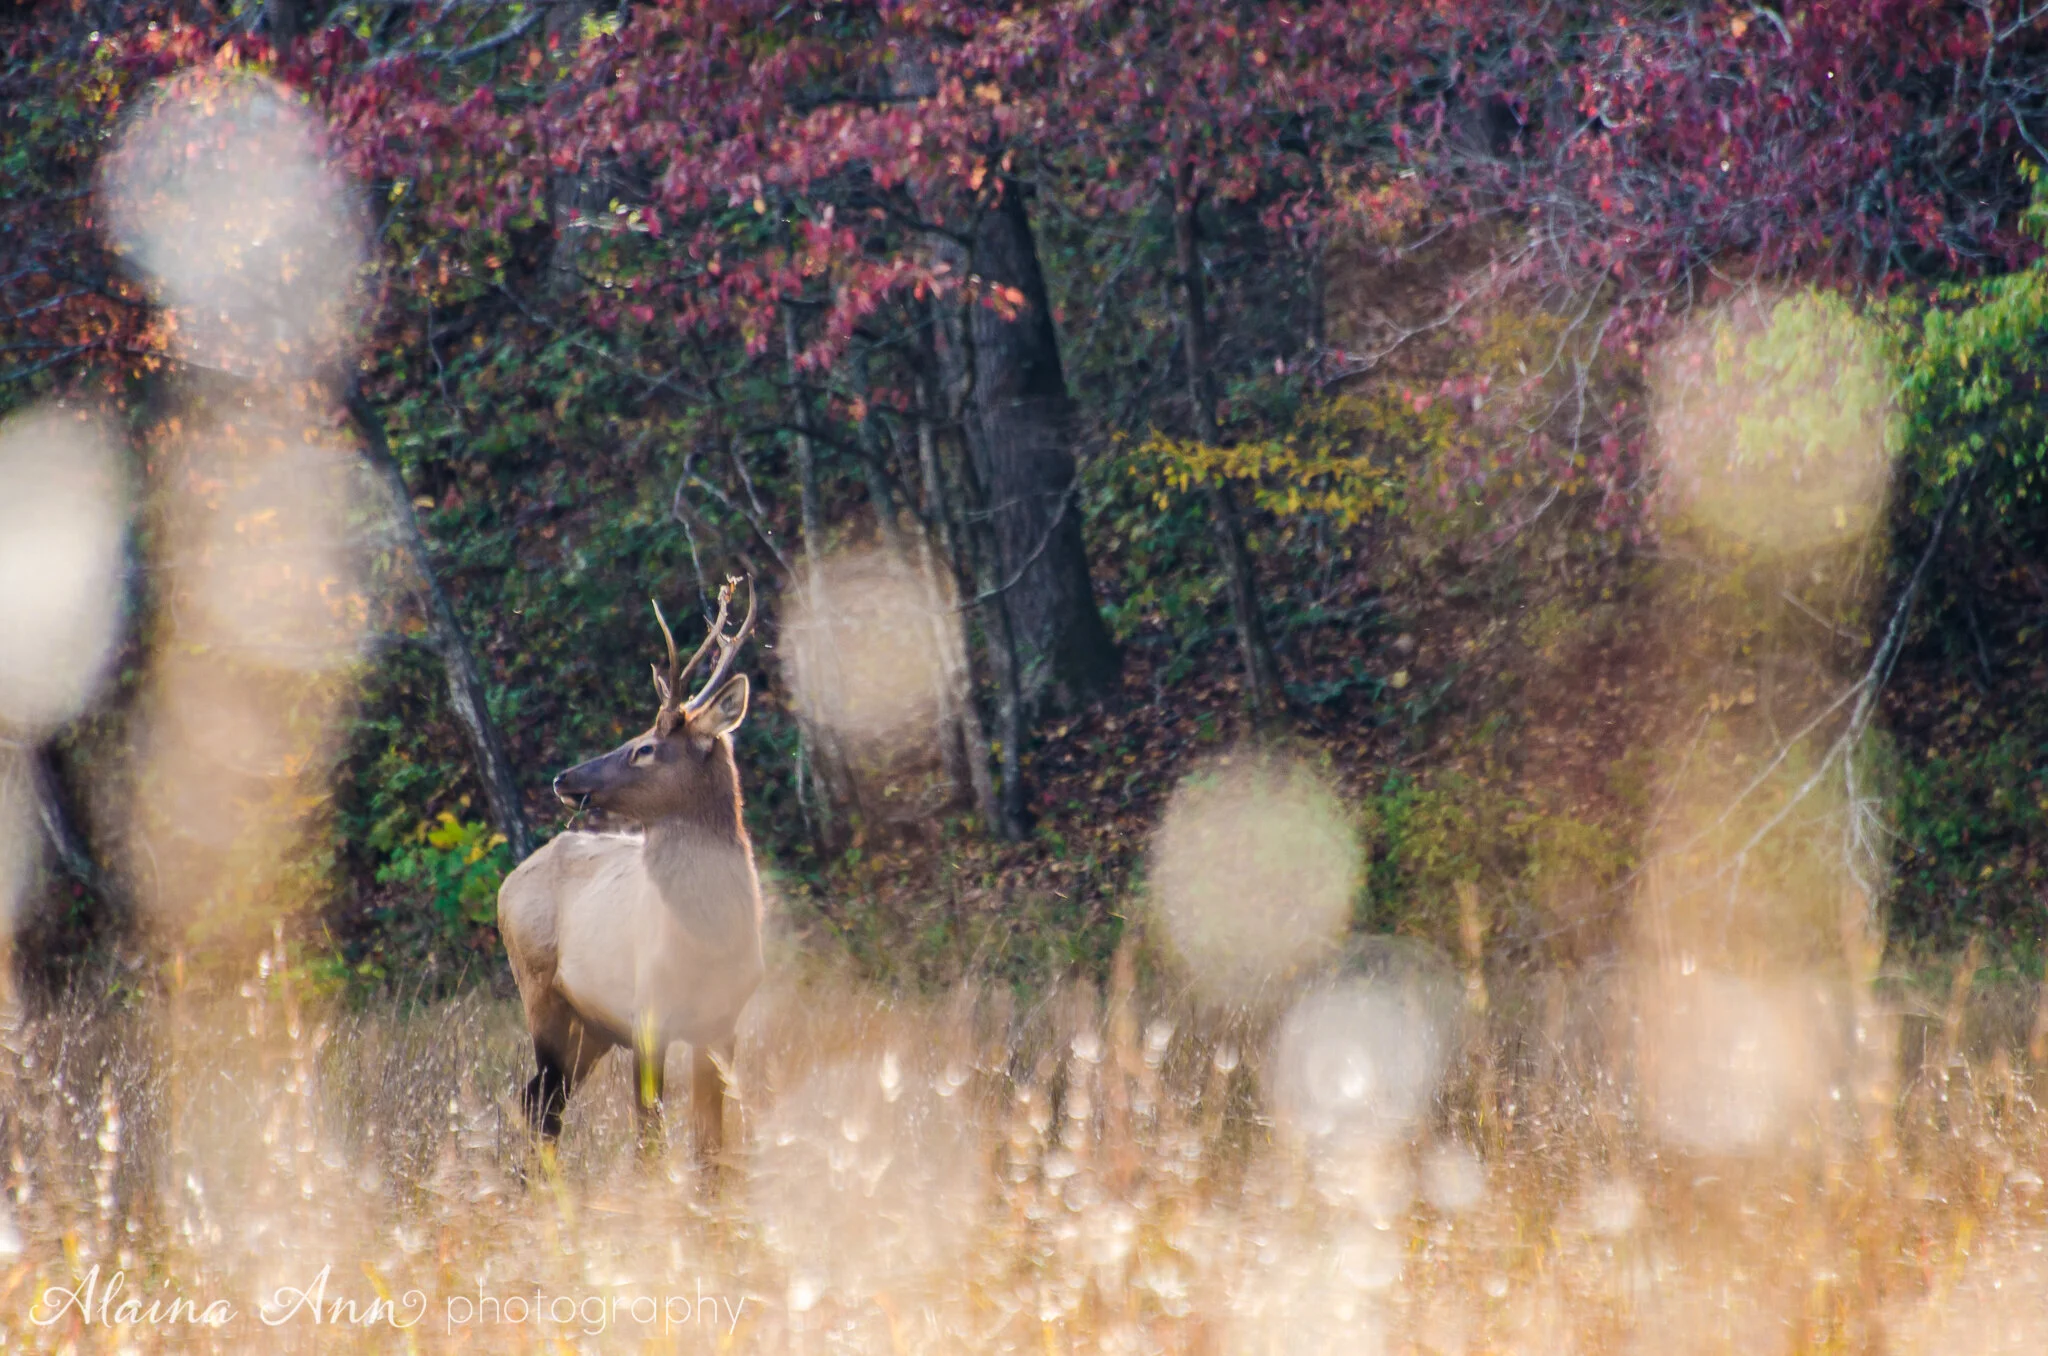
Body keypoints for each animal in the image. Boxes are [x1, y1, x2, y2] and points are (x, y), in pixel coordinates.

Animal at [497, 576, 763, 1163]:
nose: (563, 776)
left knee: (537, 1102)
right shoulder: (648, 1013)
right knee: (540, 1107)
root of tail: (508, 881)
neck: (706, 939)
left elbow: (712, 1147)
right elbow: (650, 1142)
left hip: (590, 1028)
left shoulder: (723, 1024)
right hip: (541, 995)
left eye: (645, 748)